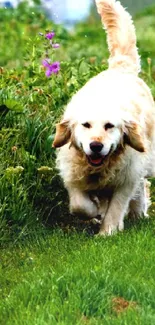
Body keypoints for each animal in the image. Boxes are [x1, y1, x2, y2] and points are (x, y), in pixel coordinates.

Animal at [52, 0, 155, 234]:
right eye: (86, 125)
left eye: (110, 126)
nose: (96, 146)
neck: (98, 168)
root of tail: (120, 69)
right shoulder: (73, 175)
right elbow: (80, 205)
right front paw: (94, 213)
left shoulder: (126, 177)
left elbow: (117, 205)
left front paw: (107, 232)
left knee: (142, 185)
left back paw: (138, 213)